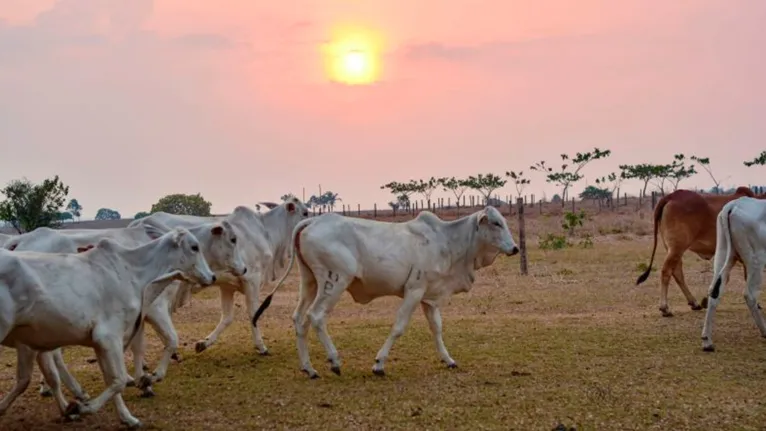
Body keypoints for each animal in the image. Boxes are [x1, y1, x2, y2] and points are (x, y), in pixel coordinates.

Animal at [0, 228, 216, 430]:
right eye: (194, 247)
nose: (212, 277)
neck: (133, 274)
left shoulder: (101, 342)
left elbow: (111, 379)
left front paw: (128, 418)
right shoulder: (110, 337)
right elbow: (118, 380)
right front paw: (83, 407)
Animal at [131, 197, 308, 356]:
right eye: (305, 212)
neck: (266, 232)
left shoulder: (227, 286)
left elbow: (227, 317)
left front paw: (204, 343)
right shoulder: (252, 279)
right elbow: (254, 313)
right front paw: (261, 346)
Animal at [252, 206, 520, 378]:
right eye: (496, 223)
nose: (515, 248)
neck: (447, 241)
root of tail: (312, 221)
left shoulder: (429, 297)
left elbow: (437, 328)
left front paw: (448, 359)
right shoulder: (414, 291)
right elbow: (399, 327)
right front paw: (379, 364)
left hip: (309, 282)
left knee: (299, 319)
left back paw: (308, 368)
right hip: (335, 281)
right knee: (316, 317)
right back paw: (334, 361)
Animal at [636, 186, 760, 318]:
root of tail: (671, 196)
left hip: (673, 249)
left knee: (677, 272)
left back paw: (694, 303)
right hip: (677, 248)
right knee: (667, 272)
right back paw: (665, 308)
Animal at [704, 197, 766, 352]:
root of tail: (733, 205)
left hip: (723, 255)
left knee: (714, 291)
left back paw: (707, 341)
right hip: (756, 261)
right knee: (749, 295)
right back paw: (765, 331)